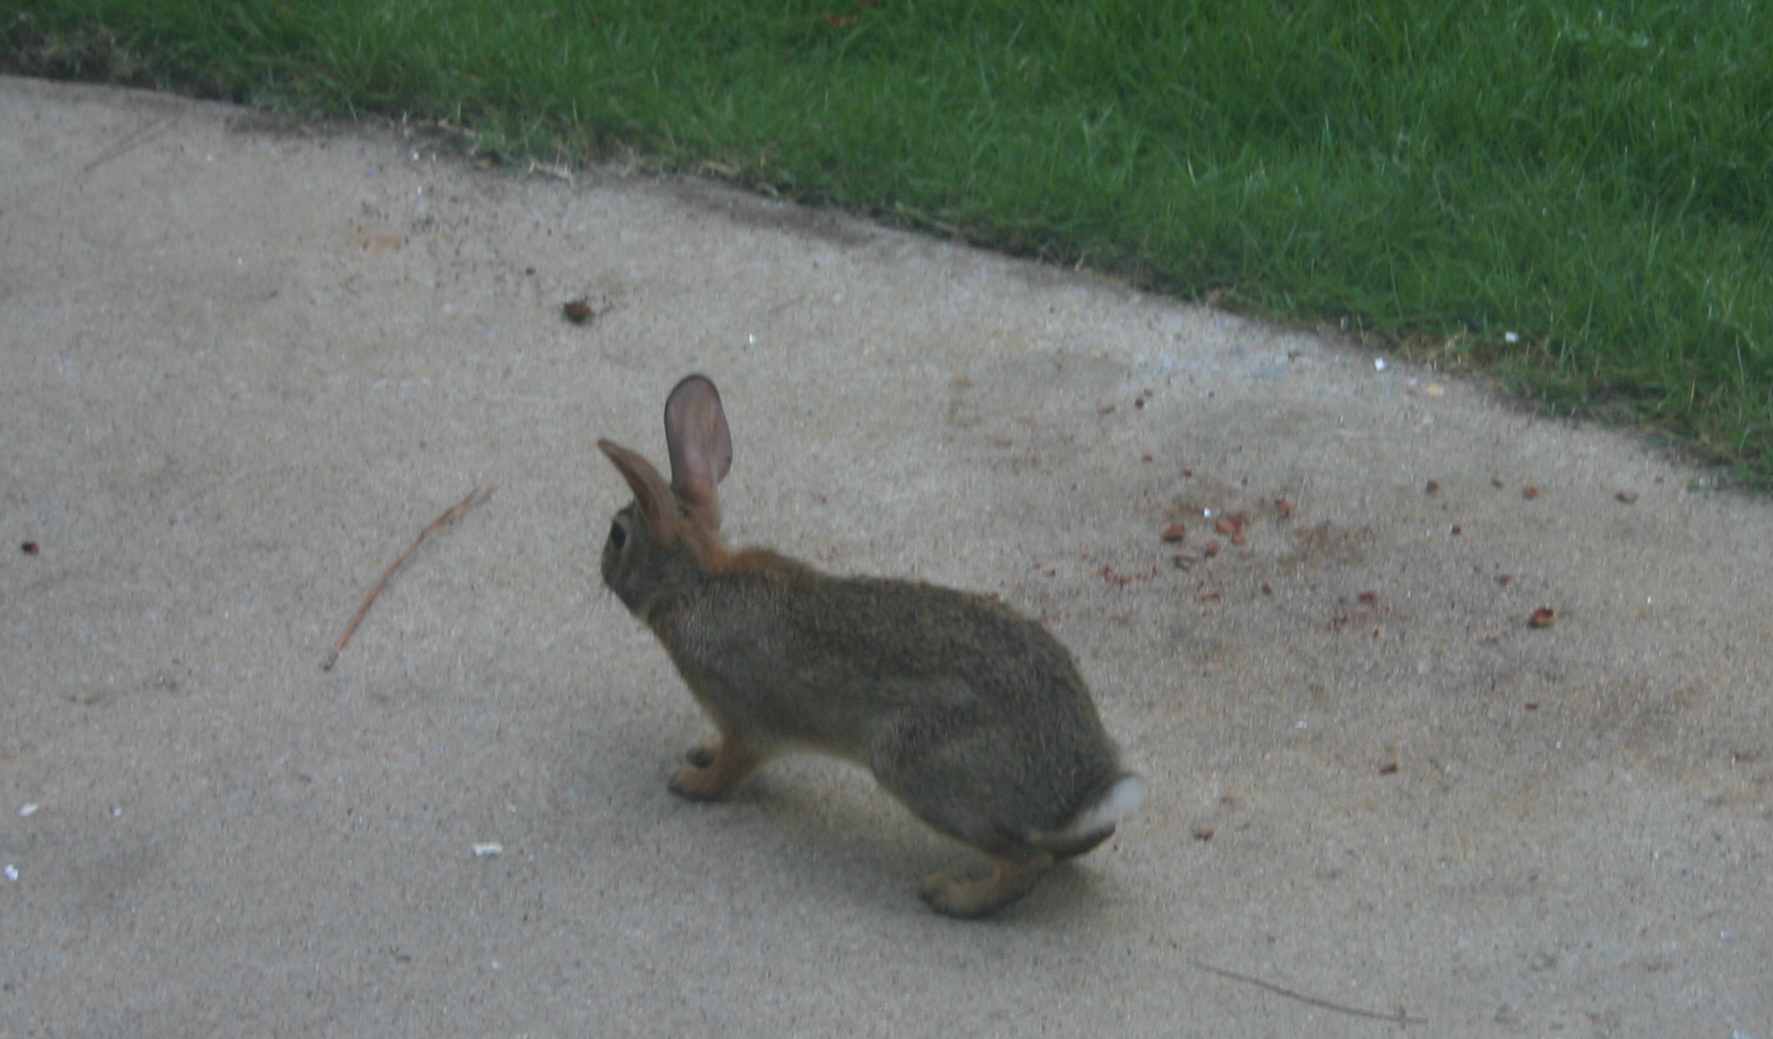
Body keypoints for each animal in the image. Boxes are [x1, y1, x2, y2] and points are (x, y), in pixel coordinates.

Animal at [599, 372, 1148, 914]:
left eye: (618, 535)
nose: (601, 569)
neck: (694, 584)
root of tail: (1076, 791)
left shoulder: (746, 719)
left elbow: (734, 766)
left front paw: (692, 782)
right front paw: (699, 754)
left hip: (916, 766)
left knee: (1025, 862)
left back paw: (952, 896)